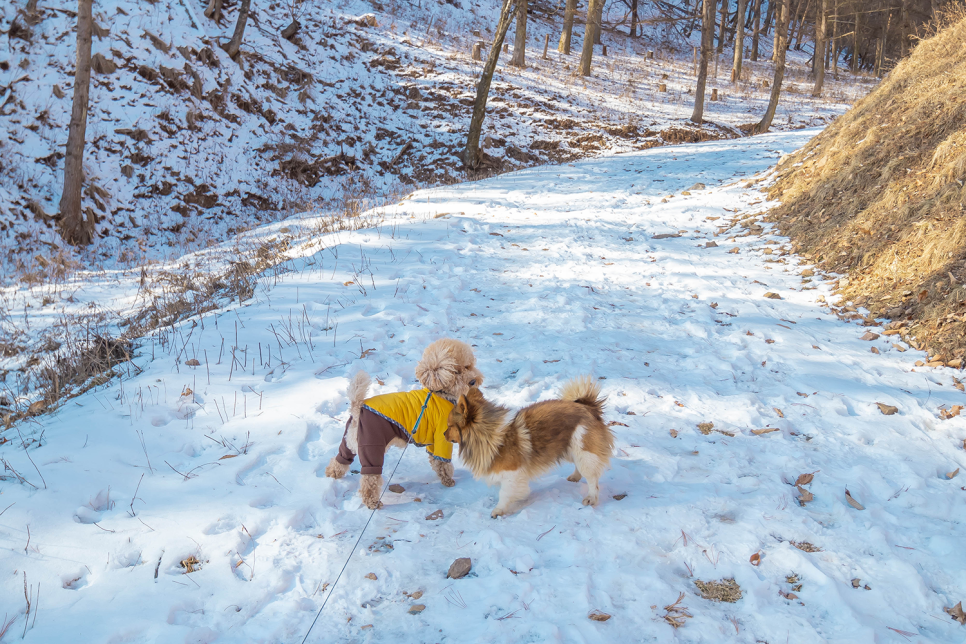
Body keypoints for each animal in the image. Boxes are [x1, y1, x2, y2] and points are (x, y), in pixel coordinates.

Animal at [444, 378, 612, 520]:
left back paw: (591, 497)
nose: (444, 434)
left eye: (449, 426)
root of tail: (588, 407)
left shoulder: (512, 474)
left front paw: (498, 510)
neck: (487, 433)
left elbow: (504, 493)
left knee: (592, 479)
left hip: (583, 452)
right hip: (570, 449)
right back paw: (575, 477)